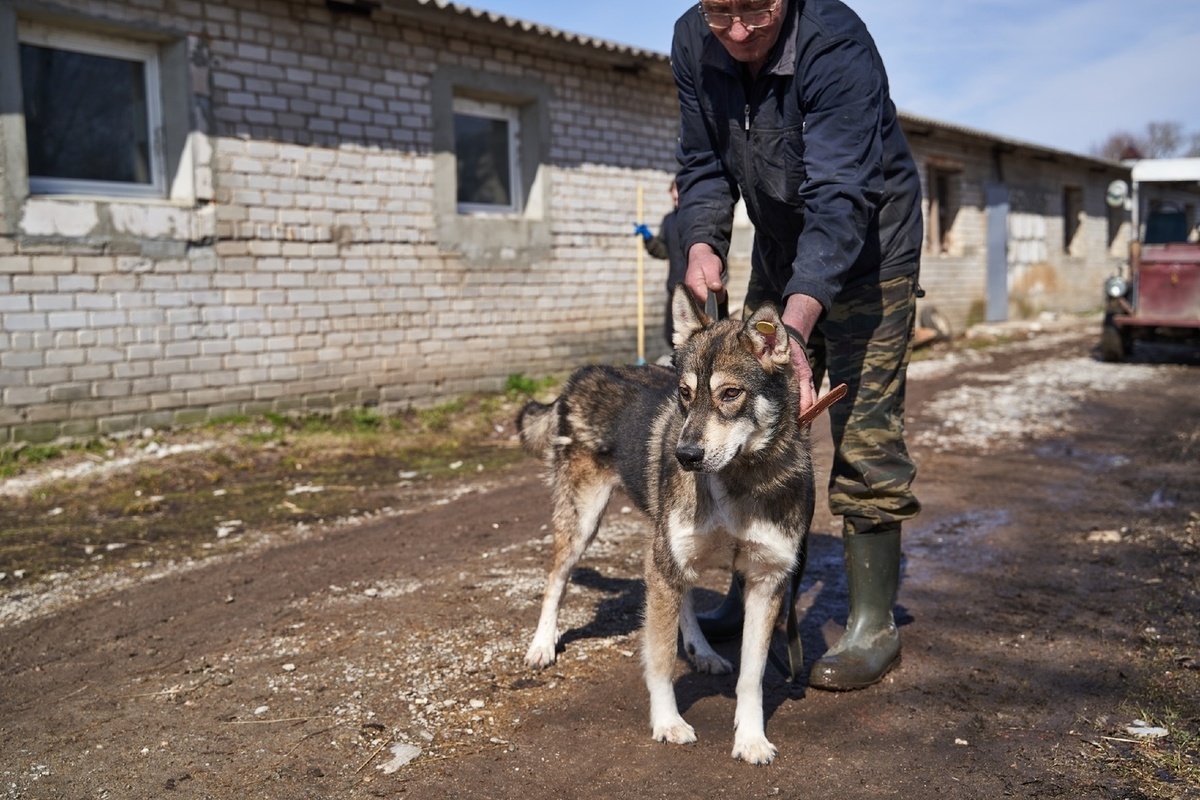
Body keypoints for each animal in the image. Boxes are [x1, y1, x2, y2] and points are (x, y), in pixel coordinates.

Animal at [516, 286, 816, 762]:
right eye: (685, 393)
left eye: (730, 393)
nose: (685, 456)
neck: (739, 479)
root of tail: (581, 374)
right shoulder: (663, 565)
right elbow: (658, 659)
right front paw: (667, 722)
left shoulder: (766, 579)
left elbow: (752, 676)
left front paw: (751, 738)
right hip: (586, 523)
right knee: (555, 580)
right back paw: (542, 645)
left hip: (667, 552)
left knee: (685, 599)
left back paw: (702, 650)